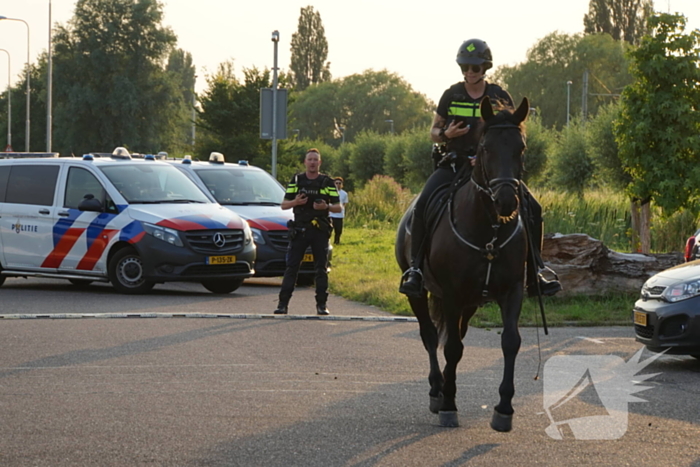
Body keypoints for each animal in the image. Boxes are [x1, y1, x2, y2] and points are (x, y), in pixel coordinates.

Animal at [394, 97, 532, 434]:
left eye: (521, 147)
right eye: (485, 148)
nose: (506, 200)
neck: (489, 231)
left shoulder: (511, 291)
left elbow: (510, 342)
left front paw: (504, 409)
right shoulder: (453, 294)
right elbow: (451, 347)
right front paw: (448, 405)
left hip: (470, 303)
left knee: (456, 335)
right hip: (421, 293)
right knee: (431, 336)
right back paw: (437, 390)